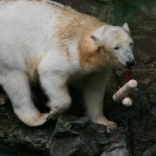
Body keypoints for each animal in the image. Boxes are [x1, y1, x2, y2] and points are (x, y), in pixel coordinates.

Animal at [0, 0, 134, 132]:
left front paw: (106, 123)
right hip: (9, 46)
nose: (130, 61)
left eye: (131, 43)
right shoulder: (68, 51)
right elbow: (50, 71)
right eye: (116, 47)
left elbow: (95, 88)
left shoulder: (100, 67)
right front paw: (53, 112)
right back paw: (38, 118)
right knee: (16, 80)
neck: (83, 41)